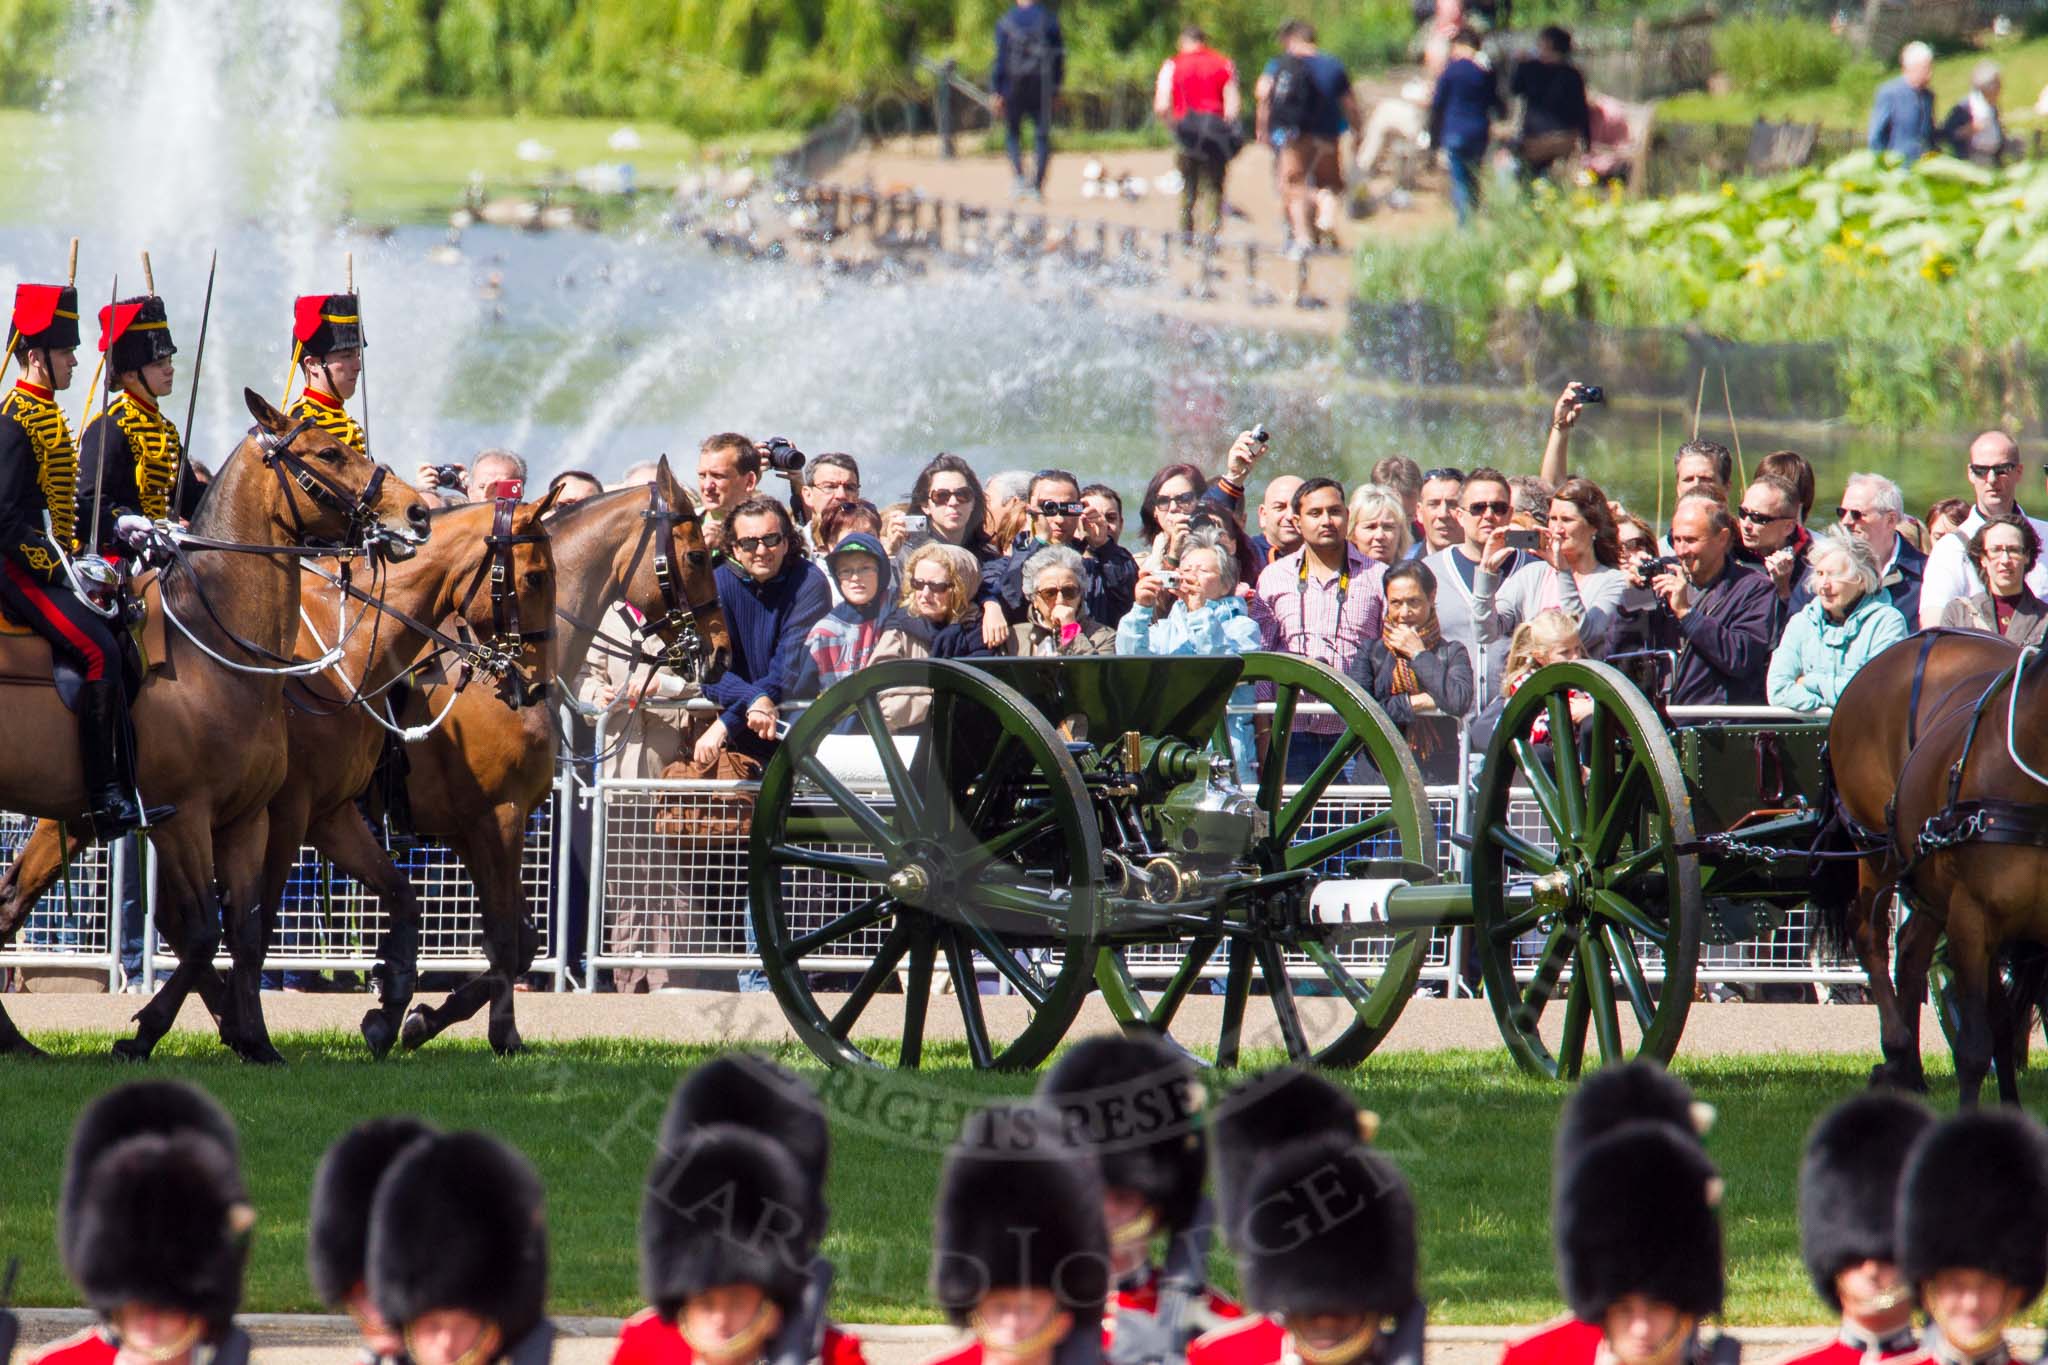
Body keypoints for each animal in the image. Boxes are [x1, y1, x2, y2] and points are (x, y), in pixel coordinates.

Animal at [0, 388, 425, 1064]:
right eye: (328, 452)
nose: (416, 512)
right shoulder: (188, 817)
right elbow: (204, 933)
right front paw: (144, 1033)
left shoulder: (250, 818)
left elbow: (246, 932)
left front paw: (257, 1041)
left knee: (10, 901)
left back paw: (15, 1041)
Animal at [0, 497, 561, 1064]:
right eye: (535, 576)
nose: (535, 685)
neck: (348, 654)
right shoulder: (303, 815)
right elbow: (260, 923)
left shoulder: (336, 816)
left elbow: (418, 902)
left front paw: (393, 1011)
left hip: (92, 813)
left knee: (21, 900)